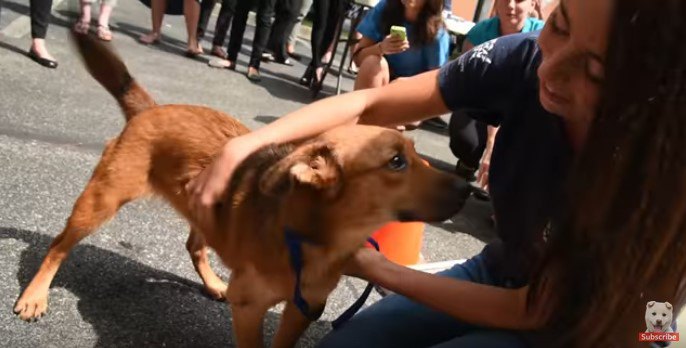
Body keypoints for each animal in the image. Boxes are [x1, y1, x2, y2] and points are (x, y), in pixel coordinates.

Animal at [12, 33, 472, 348]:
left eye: (415, 153)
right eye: (396, 161)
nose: (468, 188)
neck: (307, 235)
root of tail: (152, 109)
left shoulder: (304, 309)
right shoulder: (250, 309)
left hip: (200, 209)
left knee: (194, 246)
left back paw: (215, 282)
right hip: (101, 199)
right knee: (57, 244)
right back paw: (35, 295)